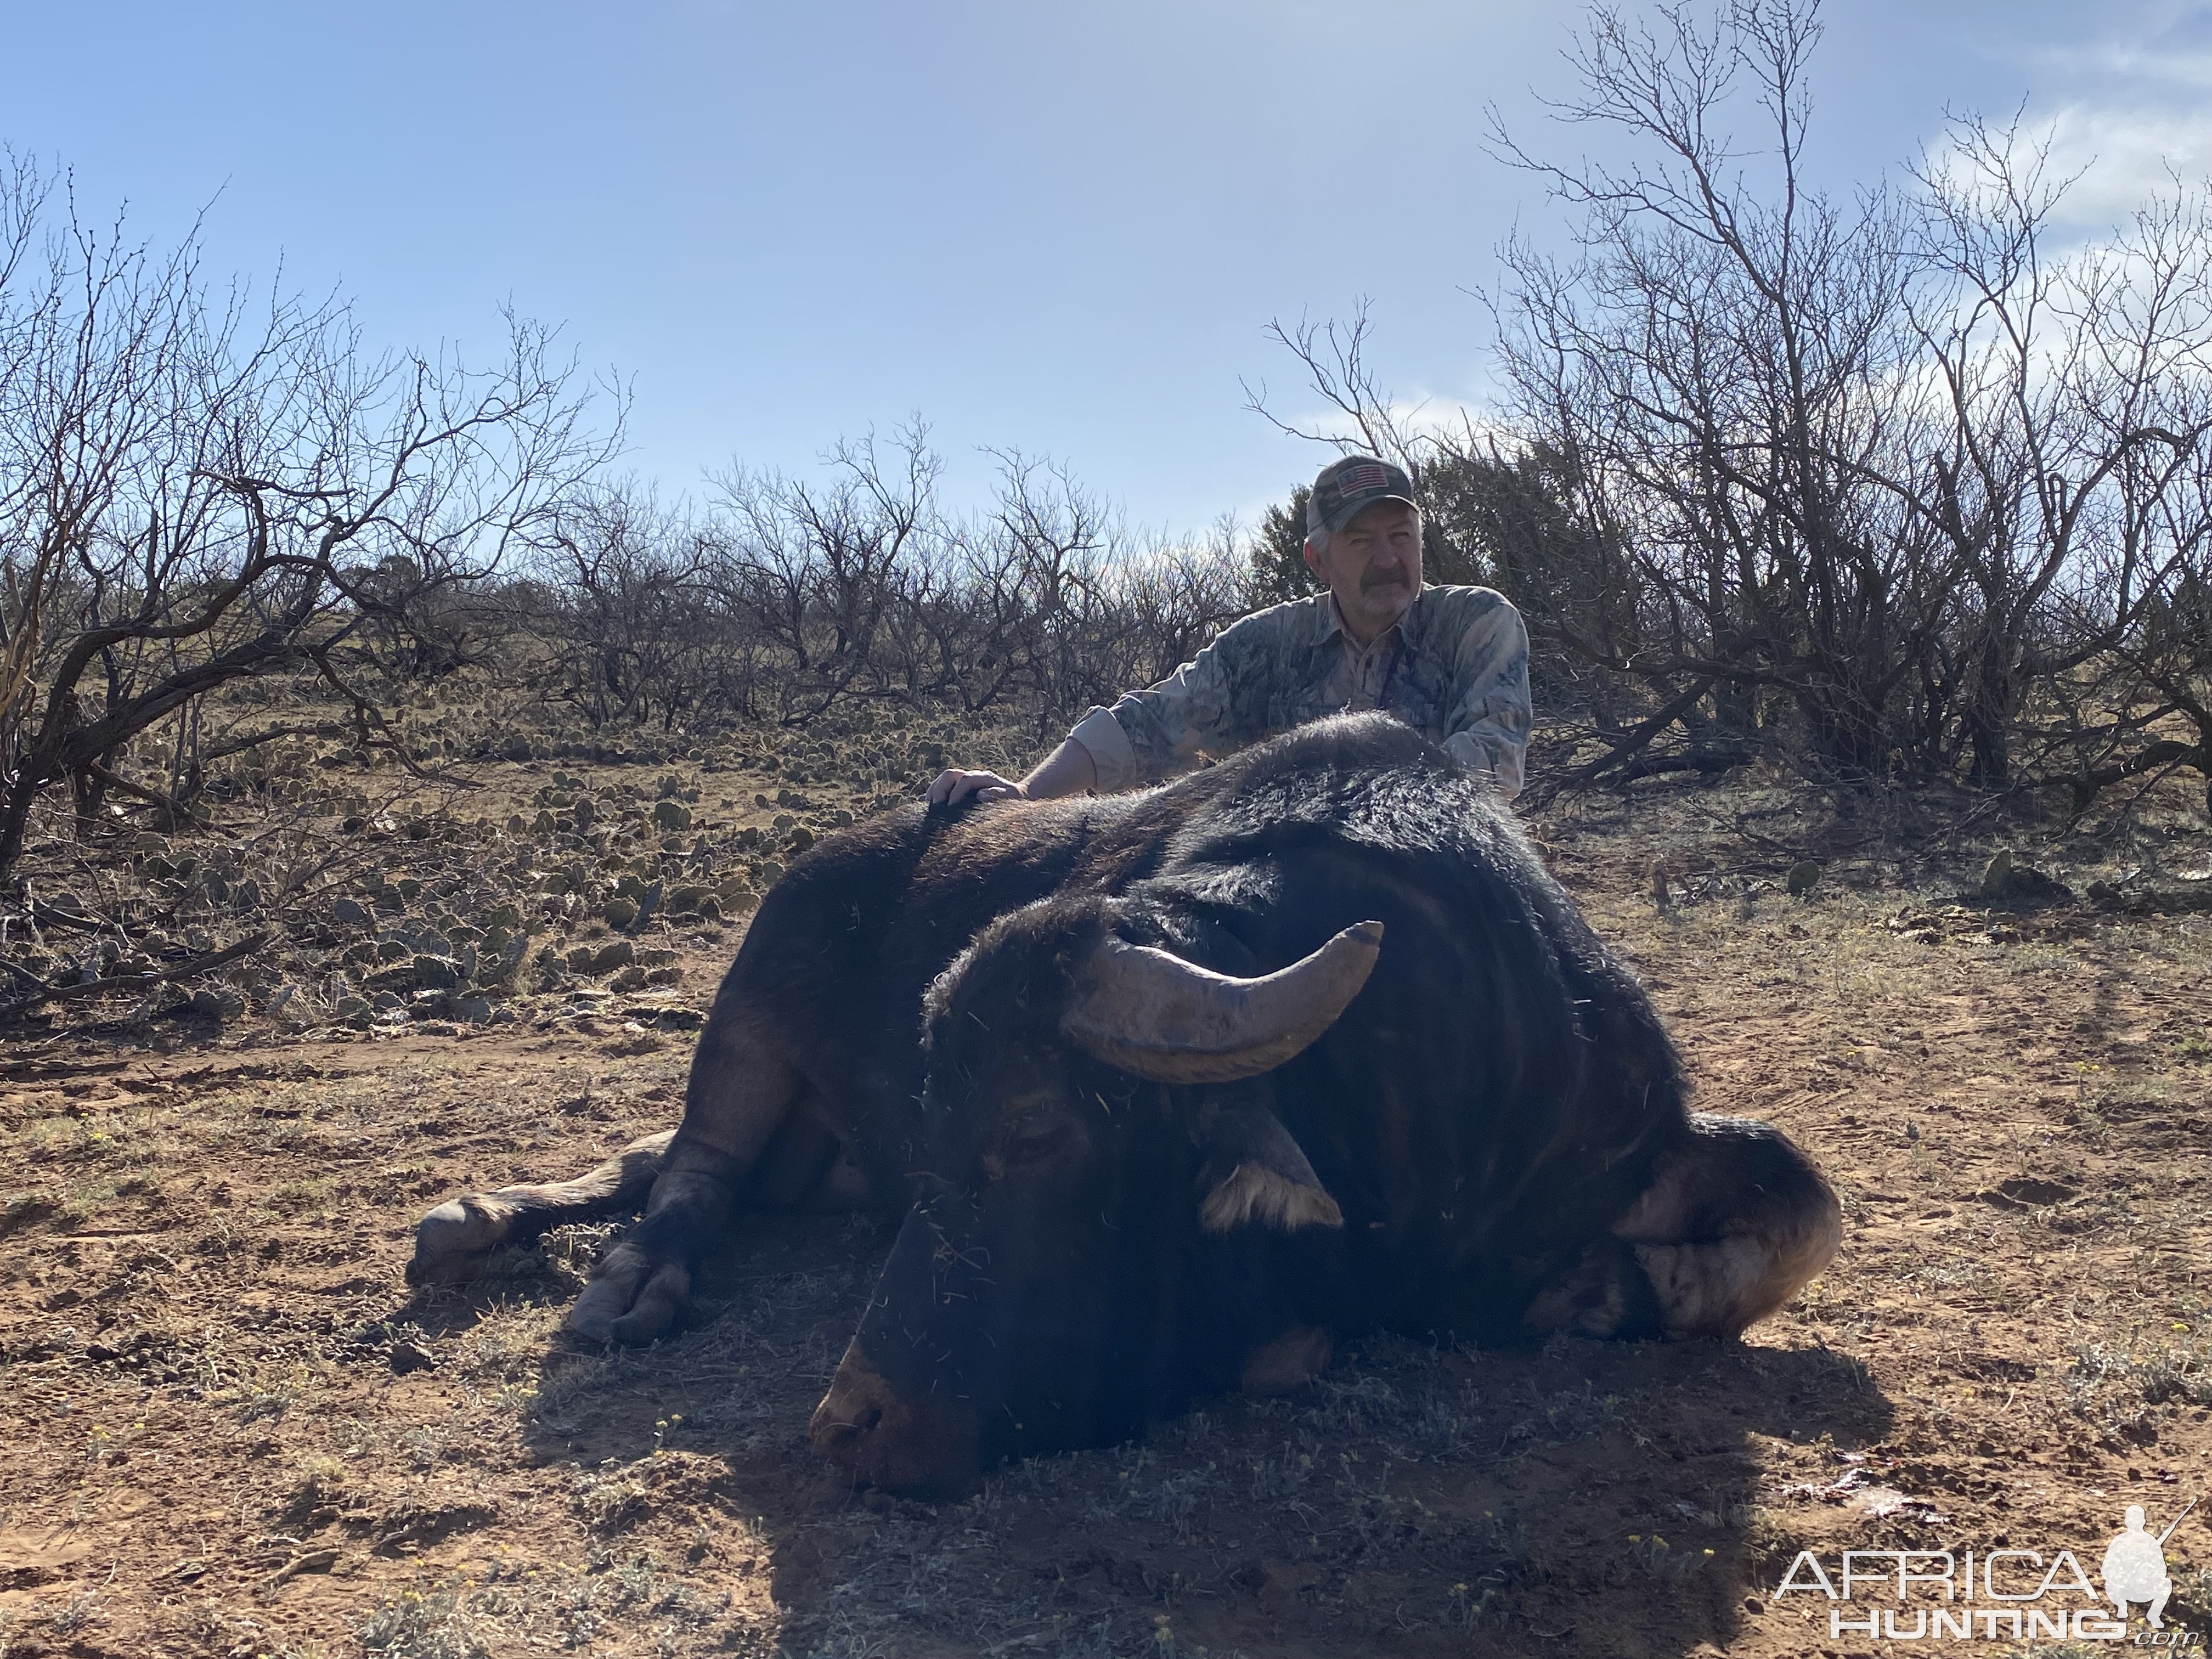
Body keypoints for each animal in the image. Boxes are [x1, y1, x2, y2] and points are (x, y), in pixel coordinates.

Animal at [407, 721, 1840, 1504]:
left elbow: (1802, 1200)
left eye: (1036, 1130)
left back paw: (483, 1217)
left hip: (819, 1162)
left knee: (653, 1156)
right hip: (746, 1032)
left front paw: (1606, 1286)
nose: (848, 1427)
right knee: (693, 1169)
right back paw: (612, 1278)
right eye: (938, 1119)